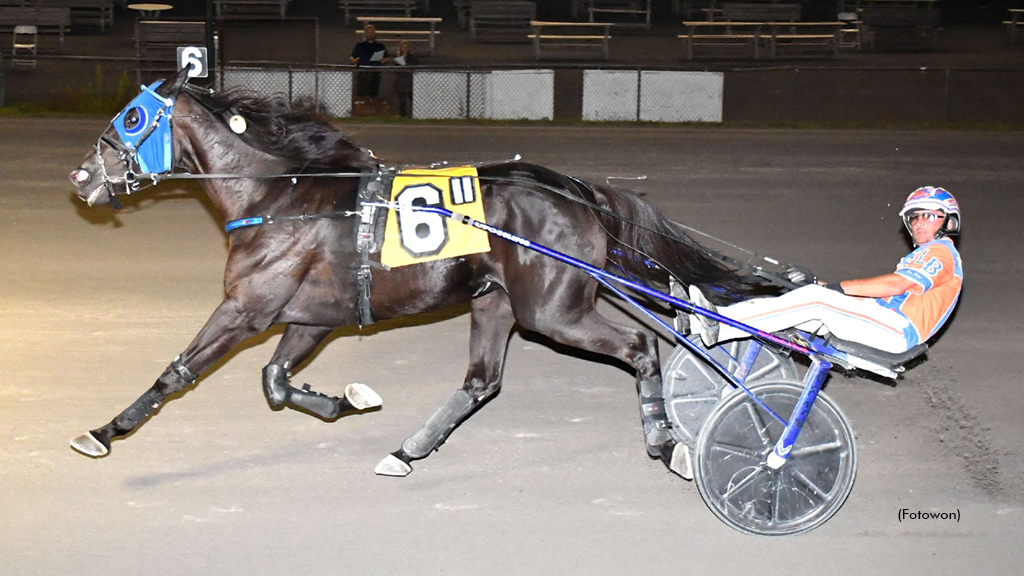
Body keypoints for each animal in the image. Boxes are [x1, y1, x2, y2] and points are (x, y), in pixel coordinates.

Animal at [68, 69, 765, 475]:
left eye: (130, 119)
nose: (80, 178)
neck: (280, 193)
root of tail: (580, 191)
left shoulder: (248, 308)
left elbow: (179, 372)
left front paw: (103, 432)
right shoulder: (312, 316)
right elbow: (275, 381)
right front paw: (347, 399)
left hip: (553, 310)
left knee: (641, 345)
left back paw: (666, 442)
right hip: (495, 301)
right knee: (482, 382)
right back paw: (408, 450)